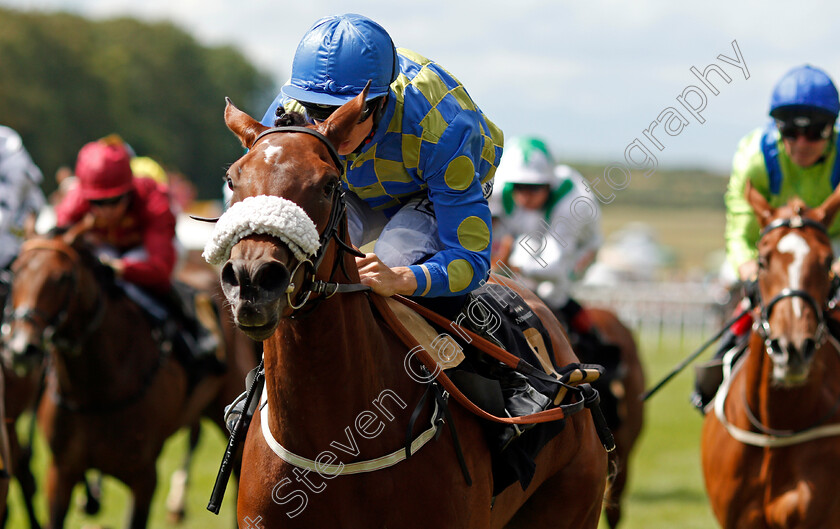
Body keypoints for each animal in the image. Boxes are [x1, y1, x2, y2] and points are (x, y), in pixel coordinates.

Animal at [4, 228, 253, 528]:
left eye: (63, 277)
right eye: (15, 271)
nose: (21, 348)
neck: (96, 391)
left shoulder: (144, 476)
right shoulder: (61, 471)